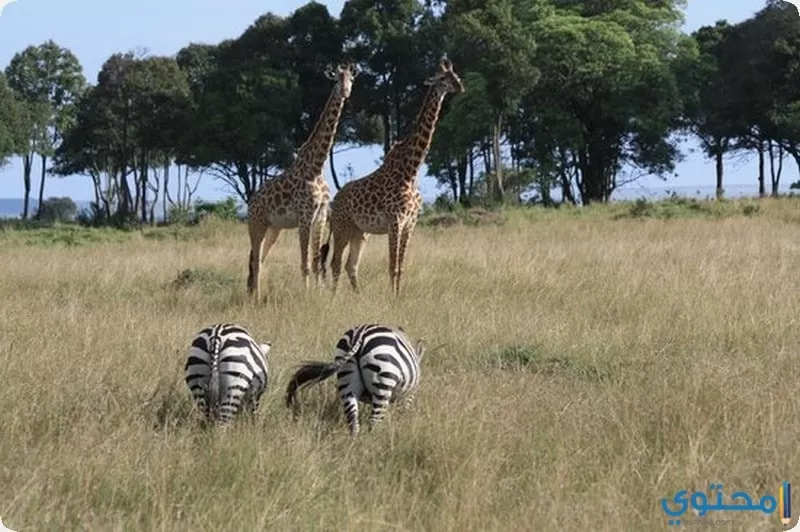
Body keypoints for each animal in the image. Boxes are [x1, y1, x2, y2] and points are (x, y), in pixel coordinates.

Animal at [244, 60, 356, 302]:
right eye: (337, 78)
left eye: (351, 79)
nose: (345, 92)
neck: (317, 167)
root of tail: (251, 202)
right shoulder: (305, 217)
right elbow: (304, 263)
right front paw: (306, 296)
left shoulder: (320, 217)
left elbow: (315, 263)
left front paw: (319, 294)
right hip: (256, 225)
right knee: (255, 261)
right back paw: (255, 299)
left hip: (273, 228)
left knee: (260, 259)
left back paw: (256, 295)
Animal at [286, 324, 424, 432]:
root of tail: (360, 334)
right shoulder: (408, 394)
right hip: (382, 381)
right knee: (373, 422)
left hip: (347, 379)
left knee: (353, 421)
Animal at [324, 60, 462, 298]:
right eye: (443, 78)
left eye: (456, 75)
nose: (460, 86)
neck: (410, 171)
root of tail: (334, 202)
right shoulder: (395, 220)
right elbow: (392, 266)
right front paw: (393, 298)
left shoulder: (410, 223)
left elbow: (400, 267)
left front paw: (398, 296)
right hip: (342, 228)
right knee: (335, 263)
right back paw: (333, 298)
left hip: (360, 232)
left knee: (350, 265)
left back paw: (358, 296)